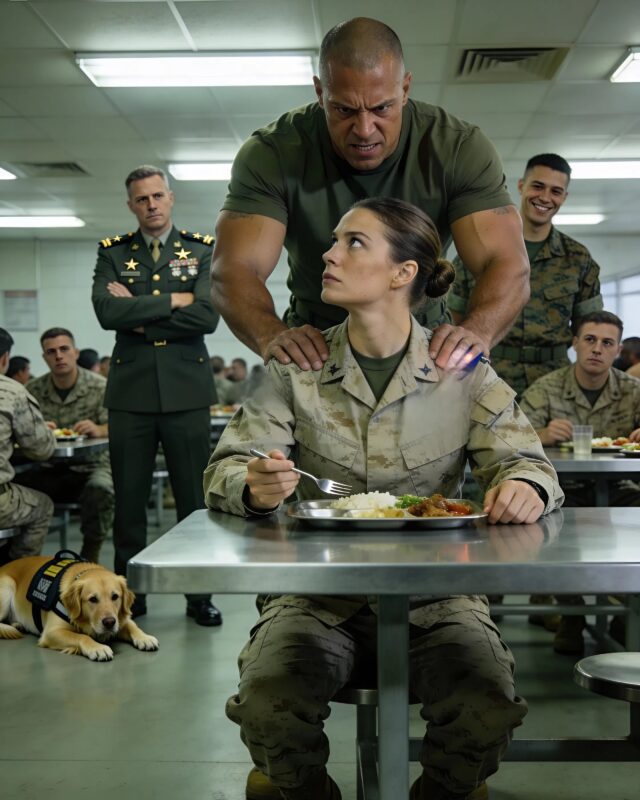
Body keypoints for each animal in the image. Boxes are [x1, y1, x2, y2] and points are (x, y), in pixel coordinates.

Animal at [0, 553, 159, 661]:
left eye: (115, 596)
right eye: (93, 599)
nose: (109, 622)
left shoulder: (120, 619)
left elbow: (132, 626)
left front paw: (144, 637)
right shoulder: (51, 632)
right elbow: (81, 636)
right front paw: (97, 647)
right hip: (7, 586)